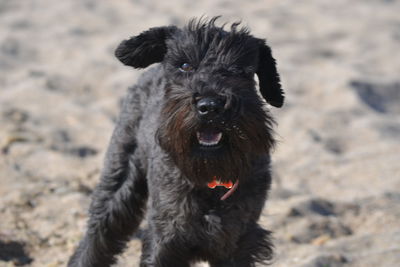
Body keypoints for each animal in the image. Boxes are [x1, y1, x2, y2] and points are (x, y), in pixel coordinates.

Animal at [67, 17, 282, 266]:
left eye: (240, 70)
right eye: (185, 66)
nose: (210, 106)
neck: (210, 176)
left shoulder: (238, 241)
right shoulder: (166, 237)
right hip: (119, 176)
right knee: (100, 231)